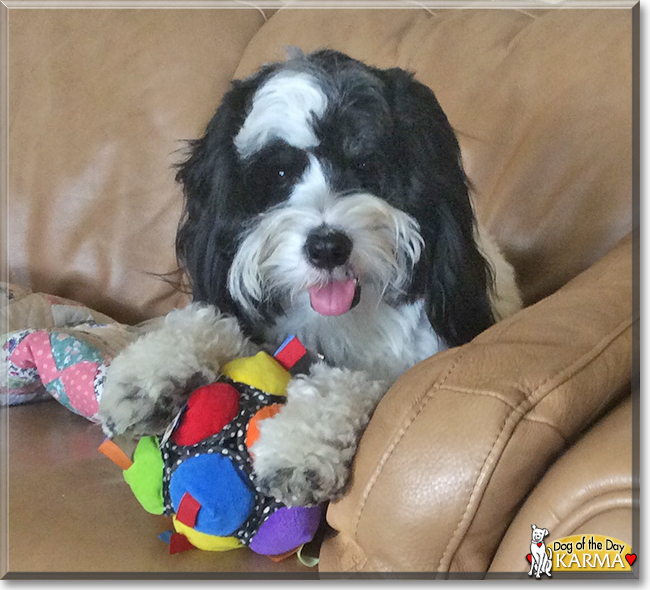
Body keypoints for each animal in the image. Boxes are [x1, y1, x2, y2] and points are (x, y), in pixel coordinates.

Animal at [97, 47, 520, 508]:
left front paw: (298, 448)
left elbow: (346, 383)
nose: (328, 247)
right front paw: (146, 378)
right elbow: (204, 320)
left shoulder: (405, 360)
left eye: (366, 164)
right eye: (281, 174)